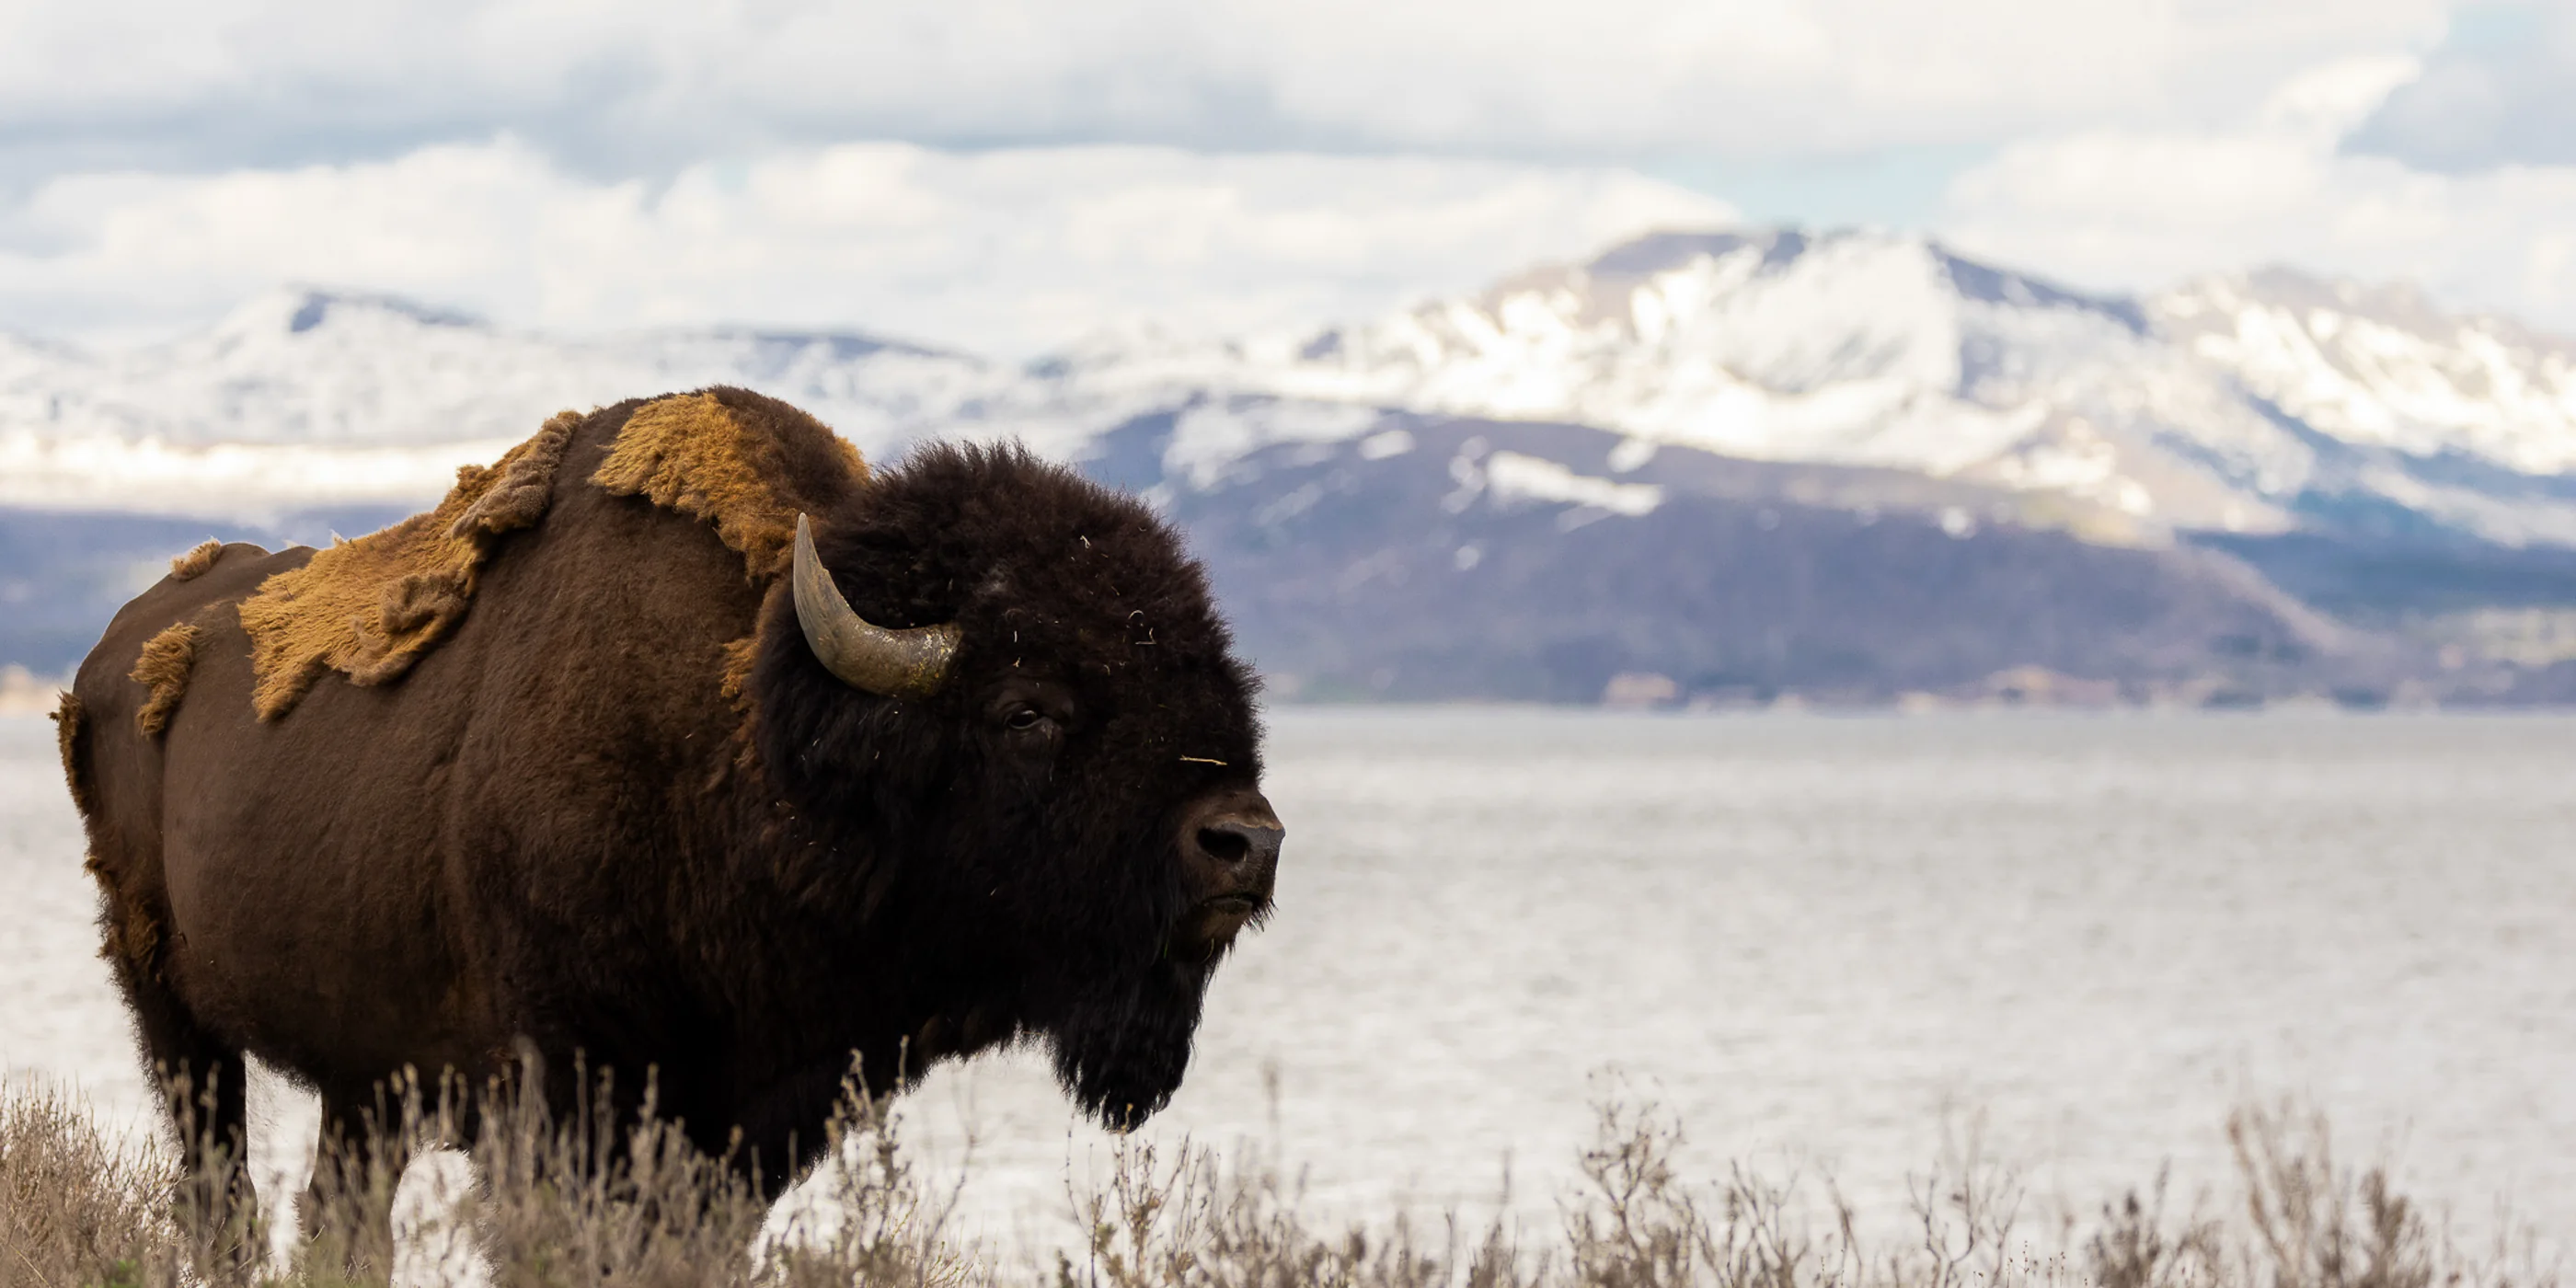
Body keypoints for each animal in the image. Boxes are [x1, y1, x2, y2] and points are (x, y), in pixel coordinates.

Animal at [58, 387, 1281, 1229]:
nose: (1245, 843)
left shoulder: (751, 1124)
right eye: (1029, 708)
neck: (749, 748)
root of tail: (115, 646)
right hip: (173, 1015)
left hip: (367, 1074)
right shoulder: (570, 1097)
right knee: (219, 1194)